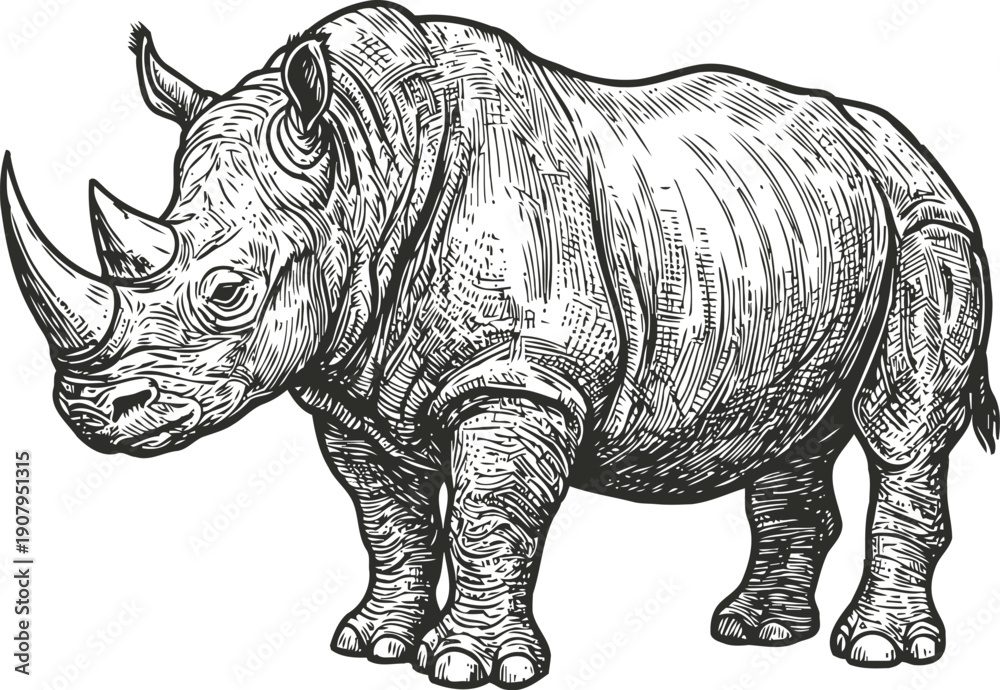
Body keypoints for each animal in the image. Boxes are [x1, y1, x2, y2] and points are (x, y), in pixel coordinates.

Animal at [4, 2, 997, 687]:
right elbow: (388, 518)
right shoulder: (350, 382)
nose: (87, 410)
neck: (366, 165)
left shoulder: (519, 377)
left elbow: (489, 511)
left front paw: (470, 670)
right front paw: (373, 644)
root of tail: (908, 147)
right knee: (792, 433)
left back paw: (877, 650)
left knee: (902, 428)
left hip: (931, 224)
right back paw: (757, 634)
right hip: (805, 242)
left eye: (225, 291)